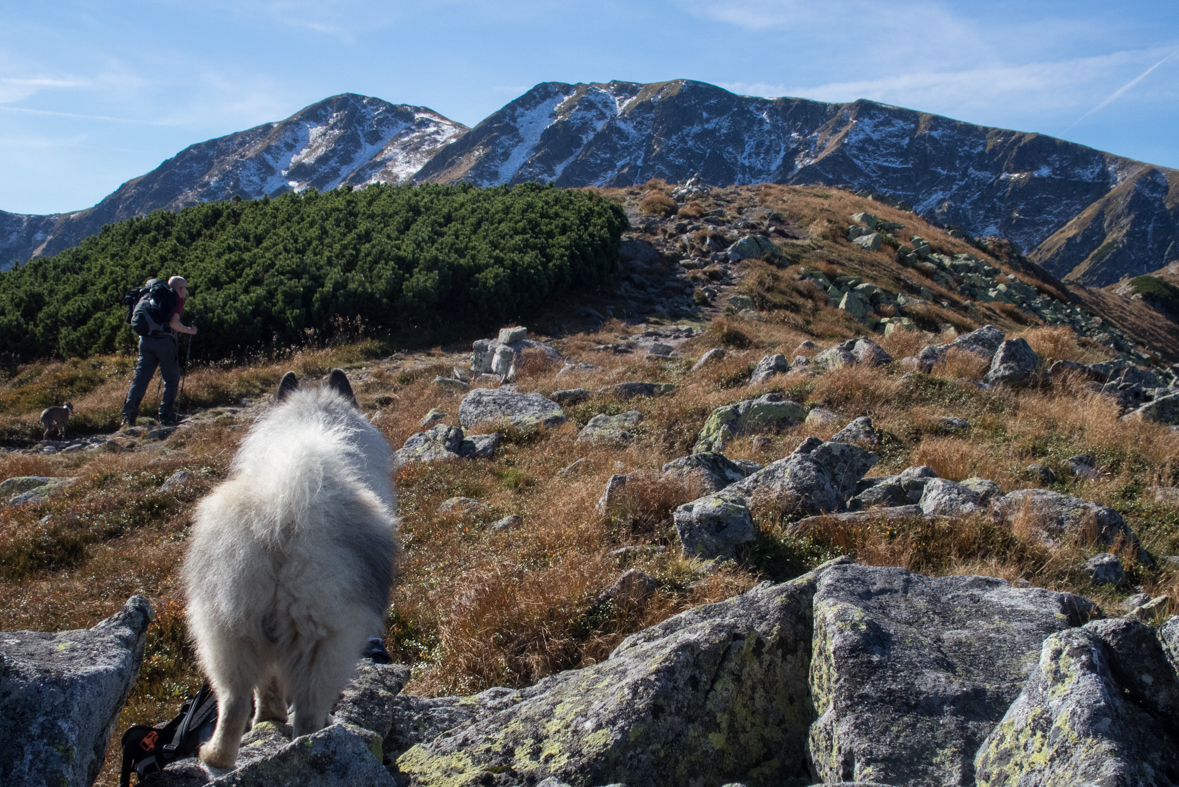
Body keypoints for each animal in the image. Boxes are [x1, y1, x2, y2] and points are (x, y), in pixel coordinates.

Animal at [181, 369, 398, 768]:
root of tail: (280, 515)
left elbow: (266, 685)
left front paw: (269, 718)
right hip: (322, 640)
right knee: (308, 714)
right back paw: (316, 743)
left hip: (225, 628)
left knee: (234, 701)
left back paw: (218, 755)